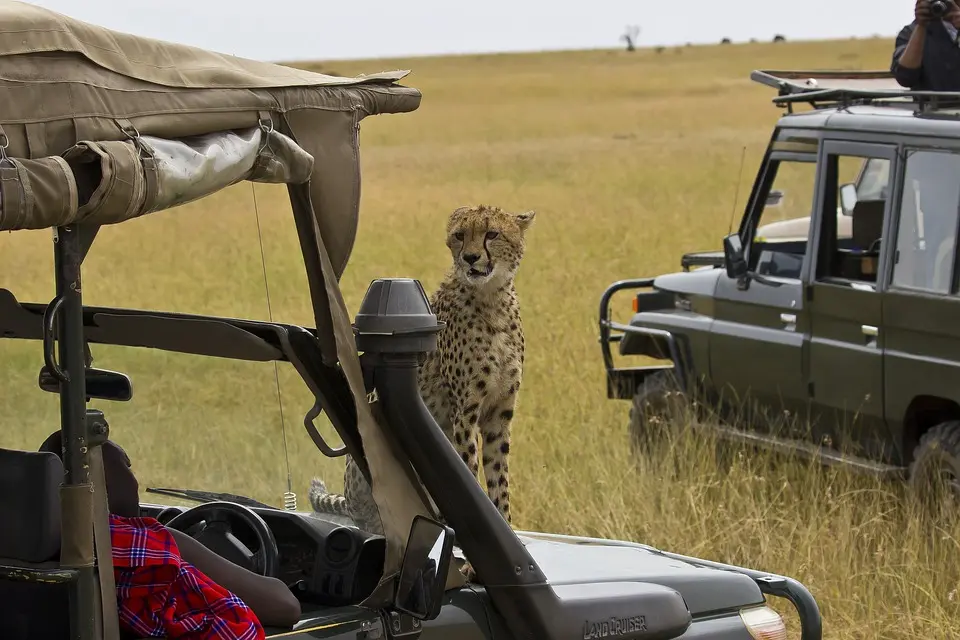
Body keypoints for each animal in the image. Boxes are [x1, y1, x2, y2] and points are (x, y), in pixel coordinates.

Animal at [308, 205, 532, 536]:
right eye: (460, 235)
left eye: (492, 234)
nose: (470, 258)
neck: (492, 299)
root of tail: (350, 501)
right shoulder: (465, 412)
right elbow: (469, 470)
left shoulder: (498, 414)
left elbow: (498, 477)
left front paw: (505, 526)